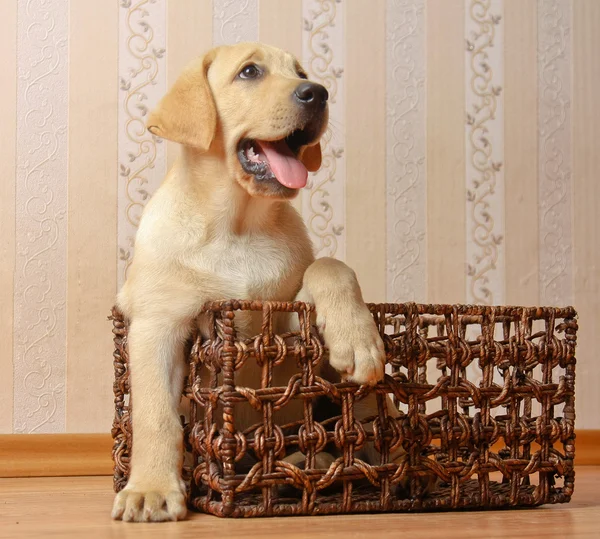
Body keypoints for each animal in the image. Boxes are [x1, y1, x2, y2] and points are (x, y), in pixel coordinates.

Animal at [112, 42, 390, 524]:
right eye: (249, 72)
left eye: (302, 73)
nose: (318, 93)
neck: (237, 224)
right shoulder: (156, 325)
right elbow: (154, 416)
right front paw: (149, 490)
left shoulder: (286, 325)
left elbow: (330, 265)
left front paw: (357, 340)